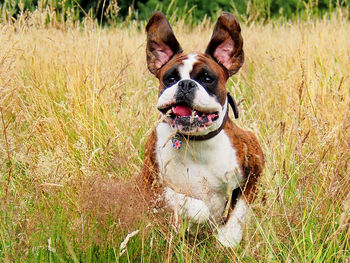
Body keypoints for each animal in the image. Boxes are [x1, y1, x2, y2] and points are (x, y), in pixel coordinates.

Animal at [141, 11, 264, 249]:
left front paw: (228, 237)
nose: (186, 84)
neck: (197, 142)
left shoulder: (254, 169)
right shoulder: (151, 185)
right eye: (170, 78)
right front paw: (198, 217)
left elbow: (240, 209)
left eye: (207, 78)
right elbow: (193, 205)